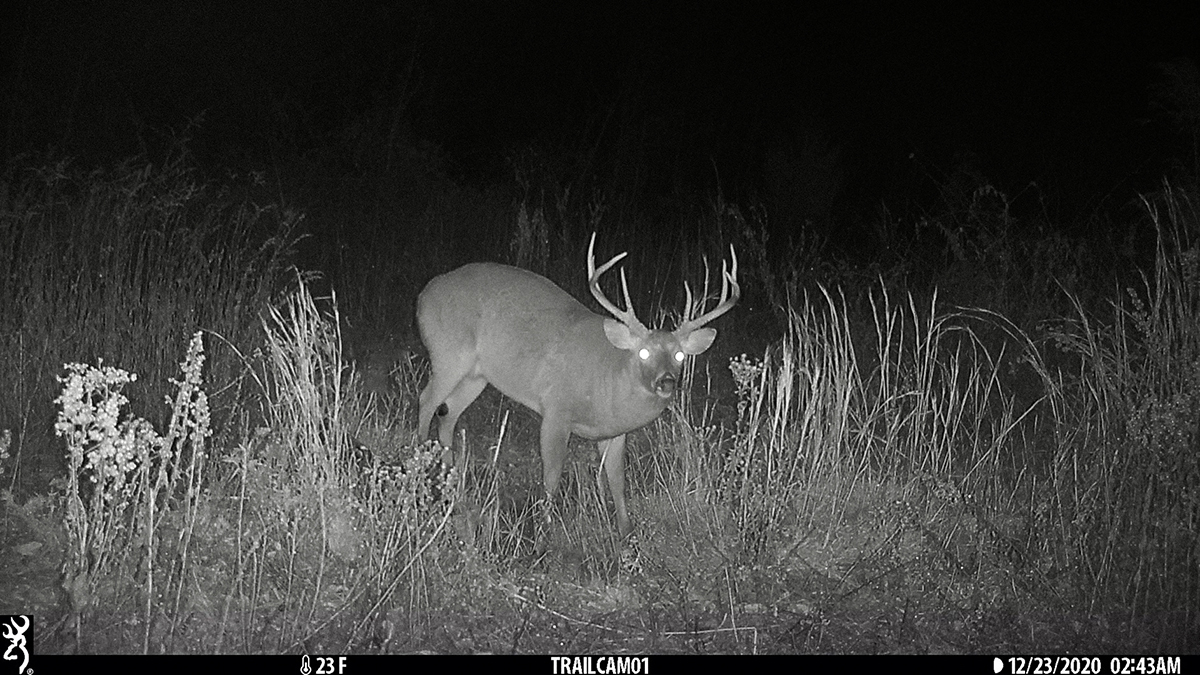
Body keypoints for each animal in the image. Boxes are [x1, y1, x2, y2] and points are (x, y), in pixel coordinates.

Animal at [416, 232, 739, 539]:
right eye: (644, 353)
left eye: (680, 355)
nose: (666, 381)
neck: (608, 379)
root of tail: (424, 294)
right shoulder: (556, 411)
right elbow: (552, 475)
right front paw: (544, 529)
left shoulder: (614, 432)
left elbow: (617, 479)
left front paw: (626, 531)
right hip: (448, 353)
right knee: (427, 400)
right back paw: (421, 467)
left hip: (477, 375)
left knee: (448, 412)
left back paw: (451, 482)